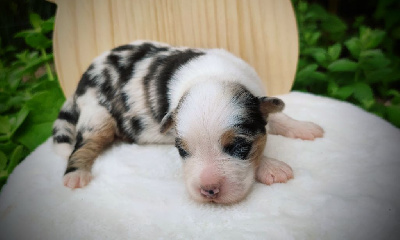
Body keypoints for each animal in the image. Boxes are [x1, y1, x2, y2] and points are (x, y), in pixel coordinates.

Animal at [53, 40, 324, 203]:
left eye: (239, 146)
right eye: (182, 151)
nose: (209, 191)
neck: (215, 75)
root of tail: (83, 77)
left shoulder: (257, 99)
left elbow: (277, 115)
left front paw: (304, 127)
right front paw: (273, 167)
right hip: (97, 114)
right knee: (84, 145)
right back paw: (76, 175)